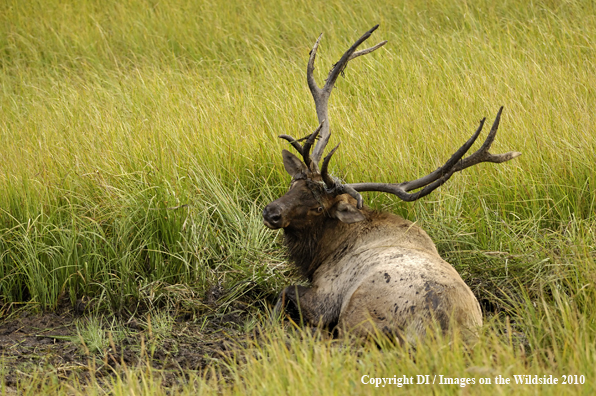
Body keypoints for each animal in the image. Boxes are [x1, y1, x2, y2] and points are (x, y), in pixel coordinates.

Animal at [264, 24, 520, 342]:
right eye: (295, 185)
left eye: (319, 208)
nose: (272, 212)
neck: (321, 254)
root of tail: (441, 329)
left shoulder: (326, 297)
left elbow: (285, 290)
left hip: (360, 311)